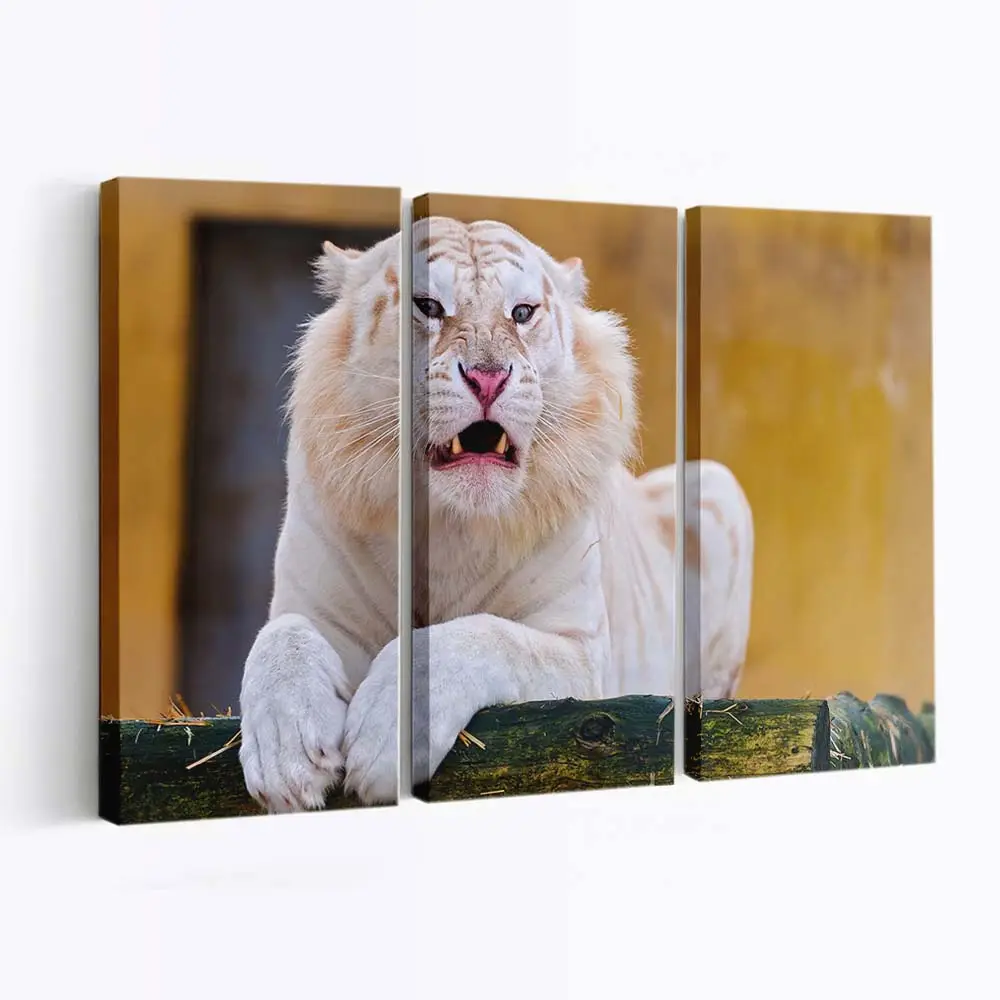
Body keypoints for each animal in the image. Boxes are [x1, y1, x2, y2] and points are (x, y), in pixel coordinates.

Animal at [238, 215, 753, 812]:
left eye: (522, 313)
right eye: (427, 305)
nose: (488, 377)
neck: (445, 524)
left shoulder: (581, 653)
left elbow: (486, 636)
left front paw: (386, 736)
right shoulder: (315, 606)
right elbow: (281, 637)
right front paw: (286, 758)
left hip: (717, 486)